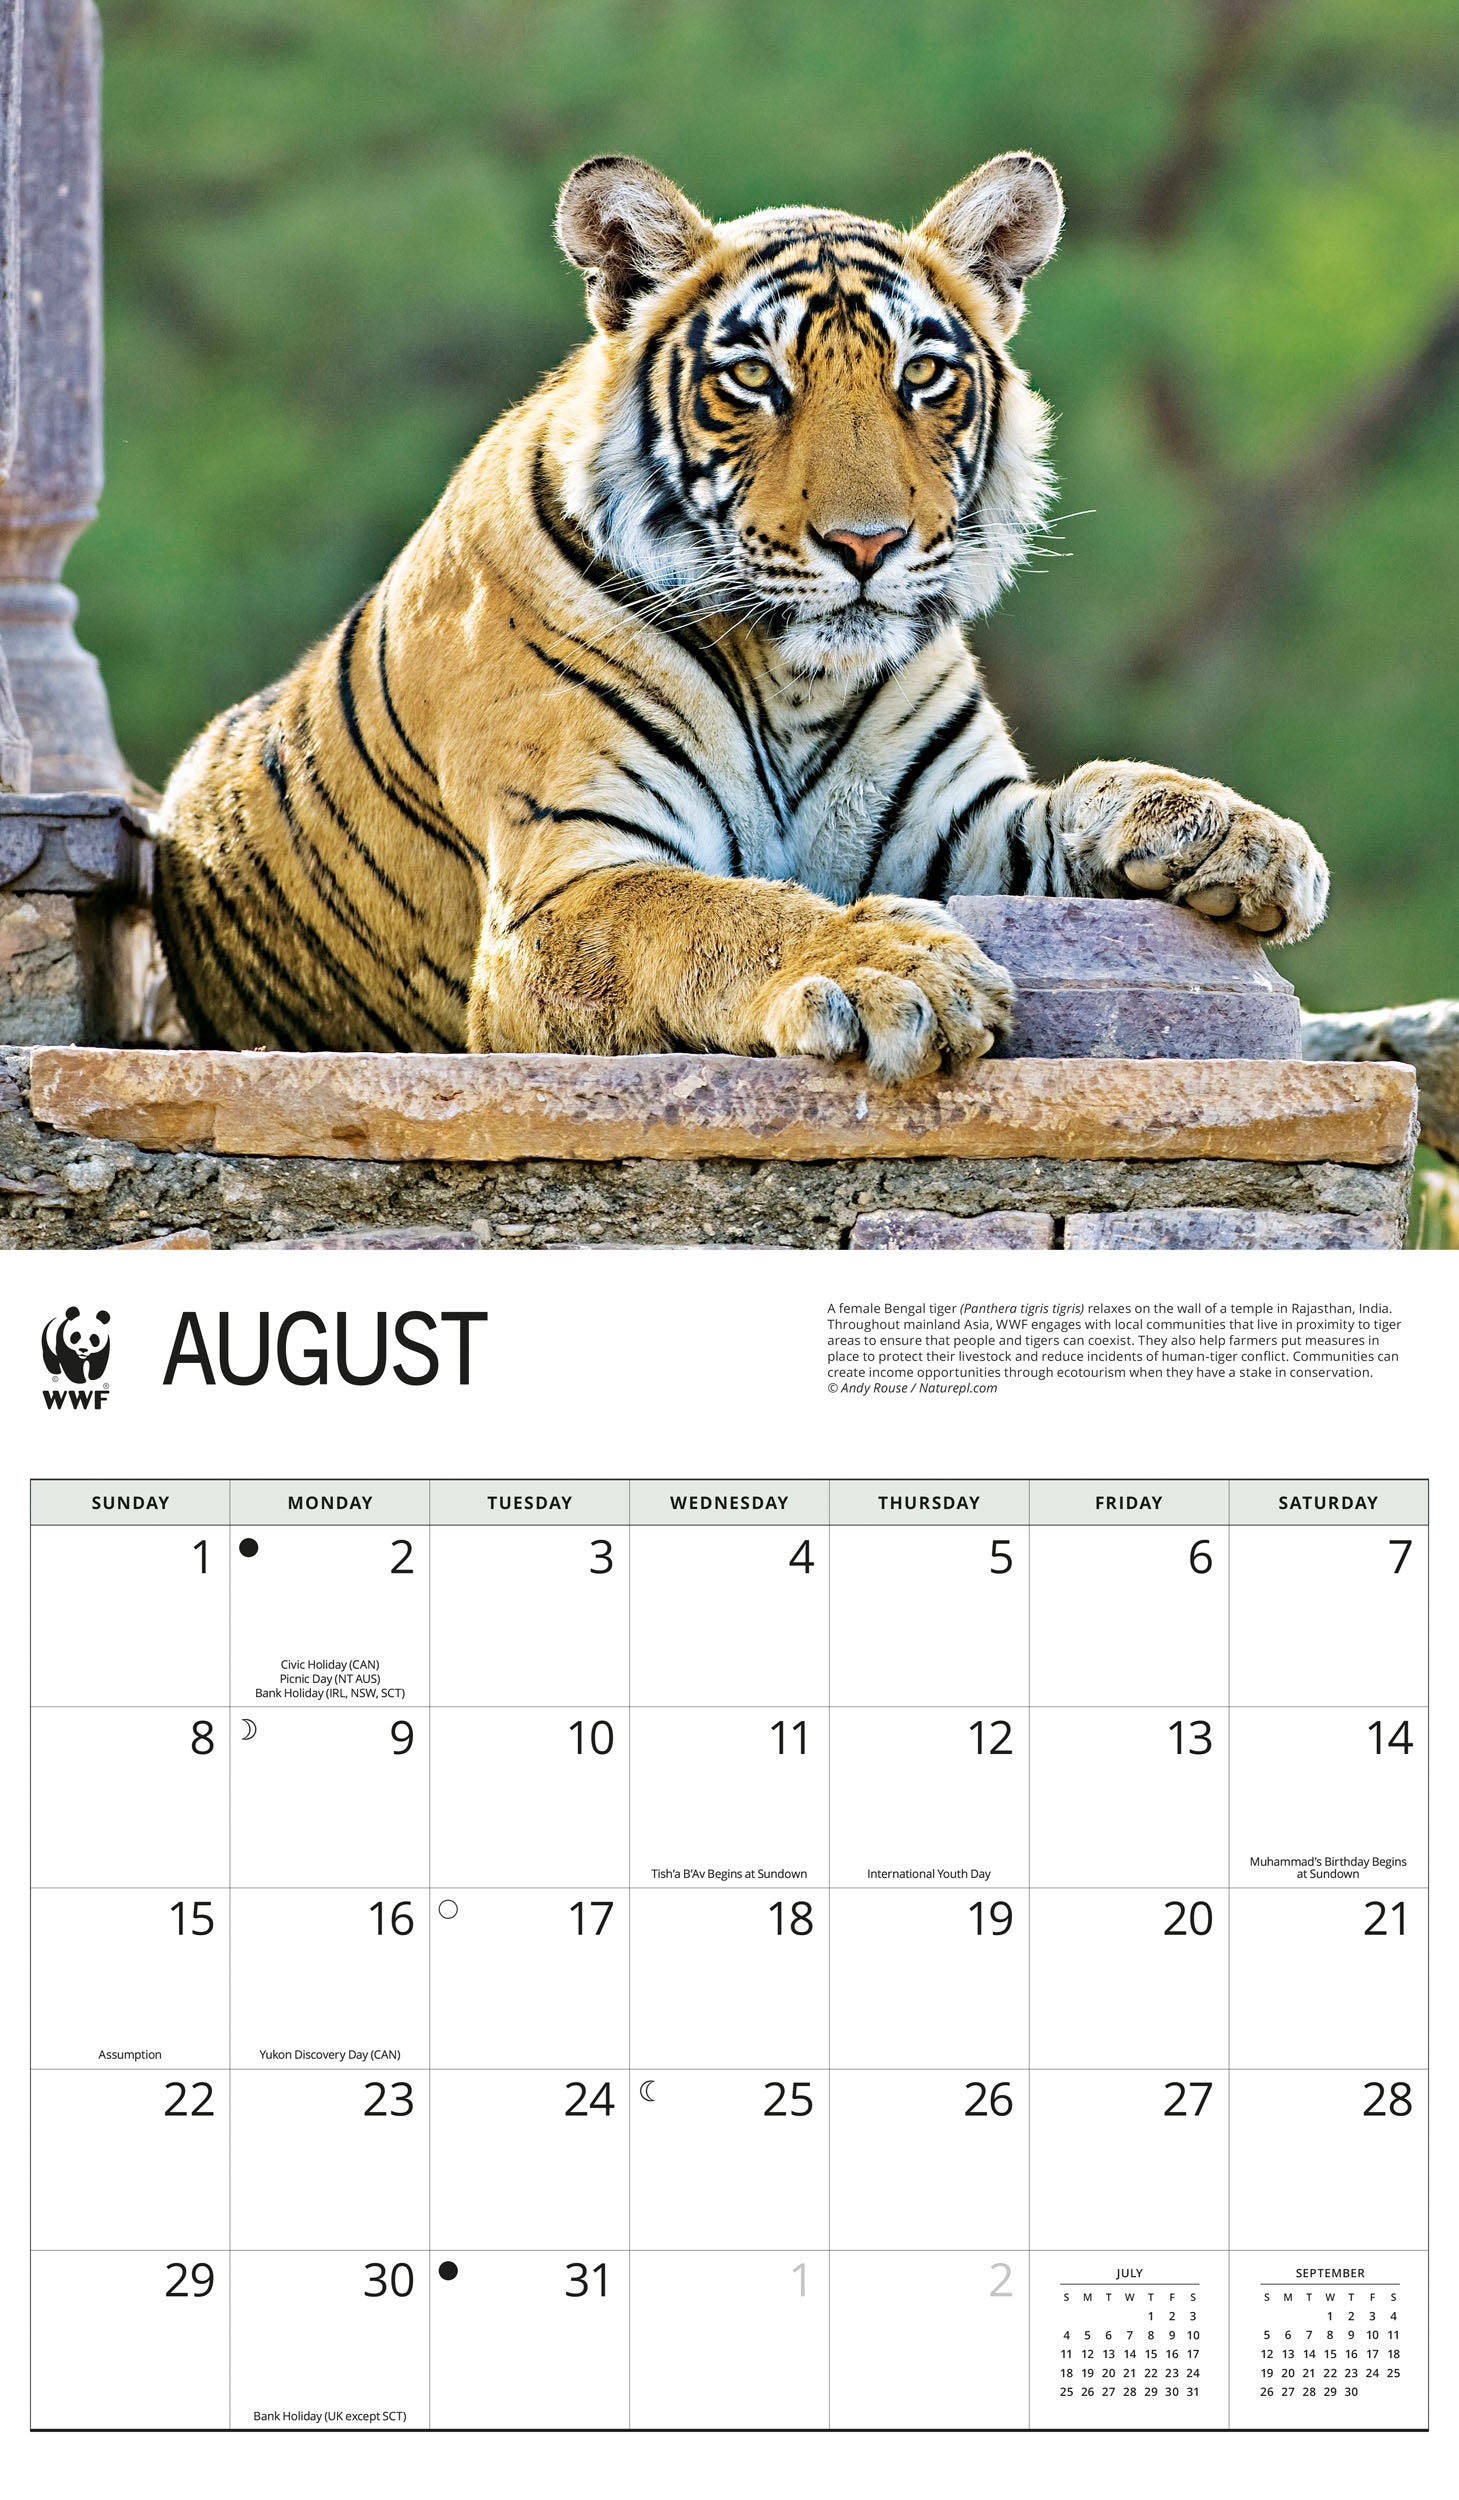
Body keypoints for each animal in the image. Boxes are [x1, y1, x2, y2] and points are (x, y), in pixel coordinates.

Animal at [154, 149, 1328, 1080]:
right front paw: (889, 969)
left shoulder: (959, 830)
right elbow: (717, 914)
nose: (867, 545)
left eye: (922, 374)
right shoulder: (566, 880)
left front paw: (1239, 836)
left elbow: (1082, 796)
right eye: (757, 379)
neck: (796, 683)